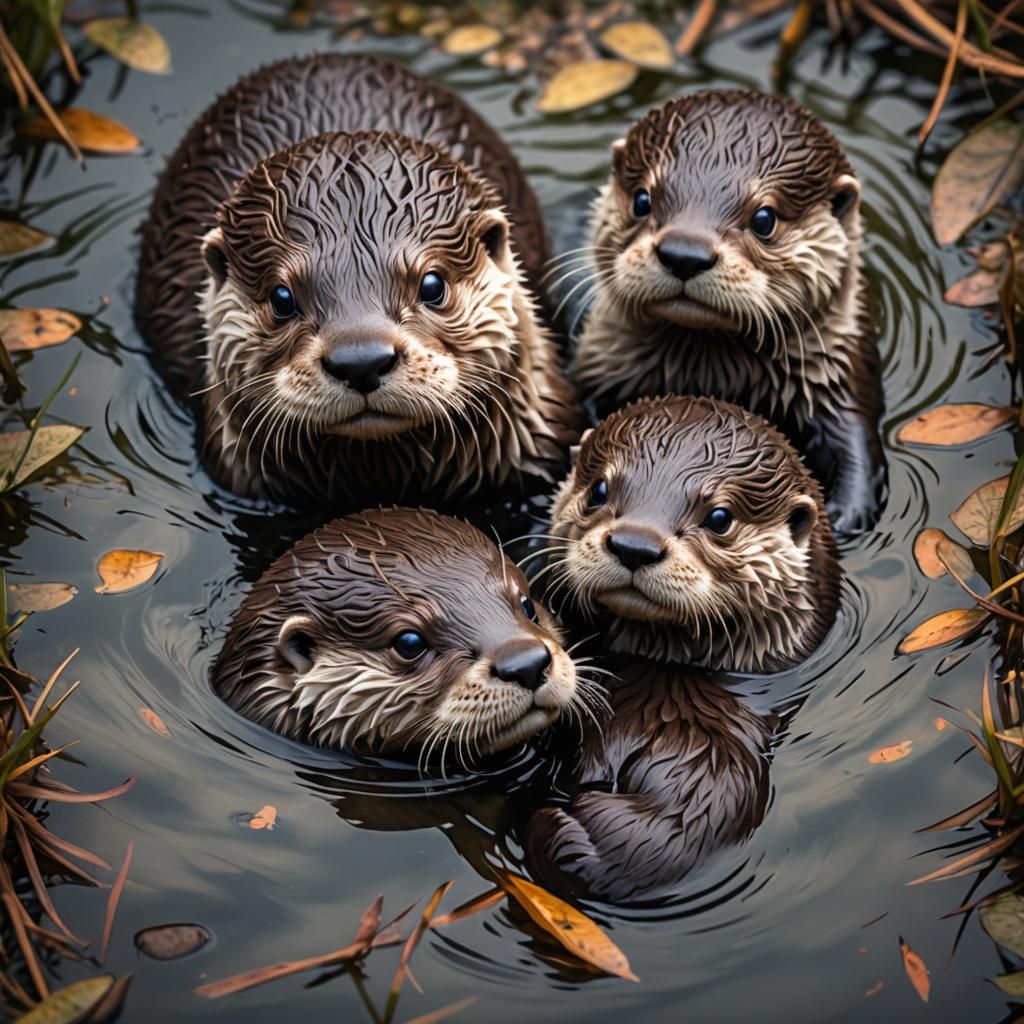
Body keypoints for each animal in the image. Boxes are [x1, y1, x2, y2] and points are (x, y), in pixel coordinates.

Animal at [570, 90, 885, 535]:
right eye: (642, 200)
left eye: (765, 218)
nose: (684, 253)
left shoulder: (838, 365)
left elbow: (856, 436)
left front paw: (847, 514)